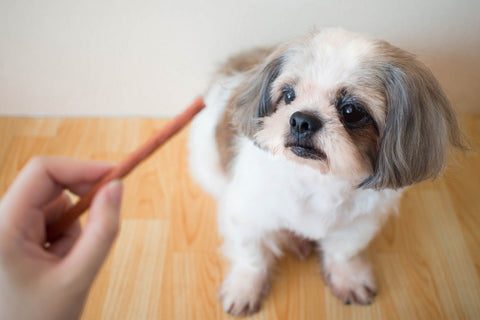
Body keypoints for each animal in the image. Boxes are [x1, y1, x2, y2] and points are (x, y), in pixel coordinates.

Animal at [188, 28, 464, 318]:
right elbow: (252, 257)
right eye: (288, 95)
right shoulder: (245, 215)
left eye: (351, 111)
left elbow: (342, 251)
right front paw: (245, 287)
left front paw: (347, 277)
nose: (301, 120)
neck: (318, 180)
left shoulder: (359, 222)